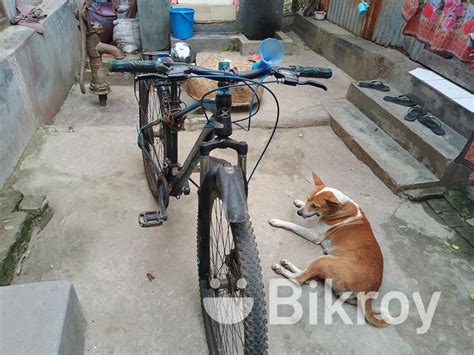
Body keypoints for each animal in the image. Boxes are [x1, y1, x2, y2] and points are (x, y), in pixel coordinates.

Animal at [268, 172, 386, 328]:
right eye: (308, 199)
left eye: (315, 205)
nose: (299, 213)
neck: (340, 208)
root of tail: (367, 291)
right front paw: (299, 203)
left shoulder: (314, 235)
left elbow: (293, 225)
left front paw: (278, 221)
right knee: (307, 277)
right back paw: (287, 264)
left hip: (324, 260)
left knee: (299, 279)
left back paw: (281, 268)